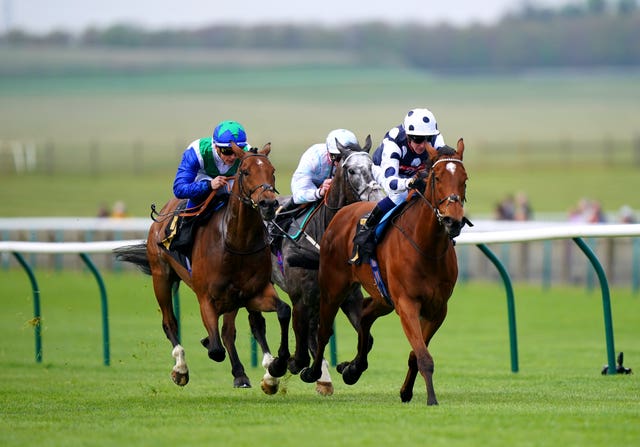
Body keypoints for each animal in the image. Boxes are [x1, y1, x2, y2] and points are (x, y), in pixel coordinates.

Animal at [115, 144, 290, 396]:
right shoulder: (207, 297)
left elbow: (282, 311)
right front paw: (205, 345)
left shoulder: (255, 292)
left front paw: (275, 367)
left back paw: (245, 374)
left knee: (235, 330)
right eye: (245, 171)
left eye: (272, 171)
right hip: (161, 276)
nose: (268, 204)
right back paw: (180, 368)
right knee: (170, 322)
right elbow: (215, 349)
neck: (237, 242)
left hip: (235, 298)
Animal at [270, 136, 384, 396]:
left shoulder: (349, 296)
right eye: (351, 170)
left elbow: (368, 338)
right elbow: (301, 350)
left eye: (372, 167)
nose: (375, 200)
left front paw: (348, 369)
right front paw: (290, 364)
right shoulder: (301, 298)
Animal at [300, 137, 470, 406]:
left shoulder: (437, 309)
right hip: (333, 287)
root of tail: (342, 212)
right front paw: (432, 398)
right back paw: (314, 372)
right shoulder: (407, 303)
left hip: (382, 296)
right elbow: (423, 355)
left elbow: (416, 353)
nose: (453, 221)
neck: (426, 247)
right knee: (324, 330)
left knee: (365, 316)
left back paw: (353, 368)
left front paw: (406, 391)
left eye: (464, 179)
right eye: (436, 178)